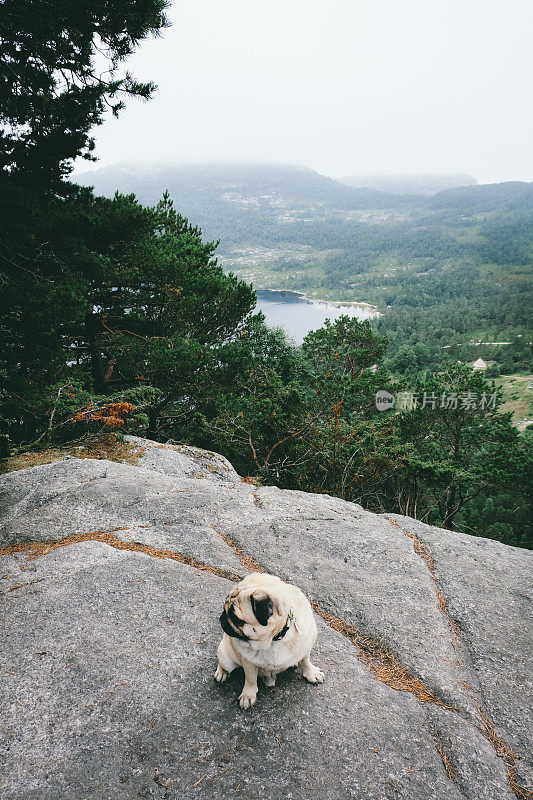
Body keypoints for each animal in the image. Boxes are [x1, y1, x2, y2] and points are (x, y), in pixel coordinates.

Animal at [213, 572, 322, 708]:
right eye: (225, 607)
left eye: (236, 619)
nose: (222, 618)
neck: (273, 640)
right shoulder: (248, 662)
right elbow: (250, 679)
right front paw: (248, 695)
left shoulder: (305, 648)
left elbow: (306, 661)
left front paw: (311, 673)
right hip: (226, 657)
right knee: (223, 663)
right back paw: (221, 673)